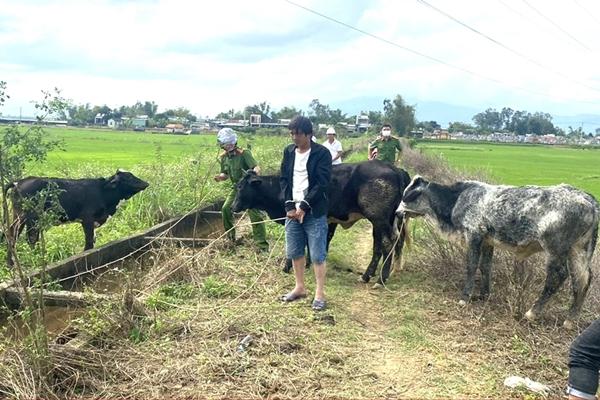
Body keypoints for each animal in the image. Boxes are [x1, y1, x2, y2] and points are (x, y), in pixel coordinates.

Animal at [6, 170, 150, 252]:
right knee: (30, 238)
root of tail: (19, 181)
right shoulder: (87, 219)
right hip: (32, 219)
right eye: (129, 177)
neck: (103, 192)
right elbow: (89, 241)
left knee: (13, 233)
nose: (146, 183)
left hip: (19, 217)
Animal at [231, 159, 412, 284]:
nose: (233, 206)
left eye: (240, 187)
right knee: (379, 246)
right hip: (381, 222)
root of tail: (395, 169)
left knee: (389, 243)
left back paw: (381, 279)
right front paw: (309, 264)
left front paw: (288, 267)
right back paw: (368, 275)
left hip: (379, 219)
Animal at [396, 177, 596, 326]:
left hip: (555, 250)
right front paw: (483, 294)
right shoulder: (487, 242)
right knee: (583, 280)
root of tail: (588, 199)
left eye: (407, 196)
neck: (458, 199)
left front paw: (465, 297)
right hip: (579, 250)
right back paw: (570, 319)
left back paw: (532, 313)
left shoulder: (474, 236)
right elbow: (485, 267)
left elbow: (472, 266)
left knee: (558, 276)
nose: (397, 213)